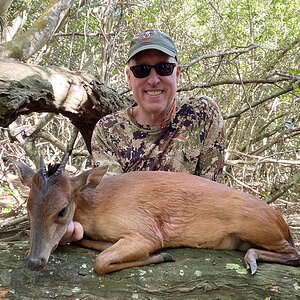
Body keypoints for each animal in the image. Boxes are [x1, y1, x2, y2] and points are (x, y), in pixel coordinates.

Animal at [15, 156, 298, 276]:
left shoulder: (144, 230)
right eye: (27, 208)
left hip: (256, 225)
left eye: (62, 210)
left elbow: (101, 263)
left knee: (294, 254)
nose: (34, 261)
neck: (97, 206)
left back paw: (252, 259)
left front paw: (162, 255)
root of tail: (283, 223)